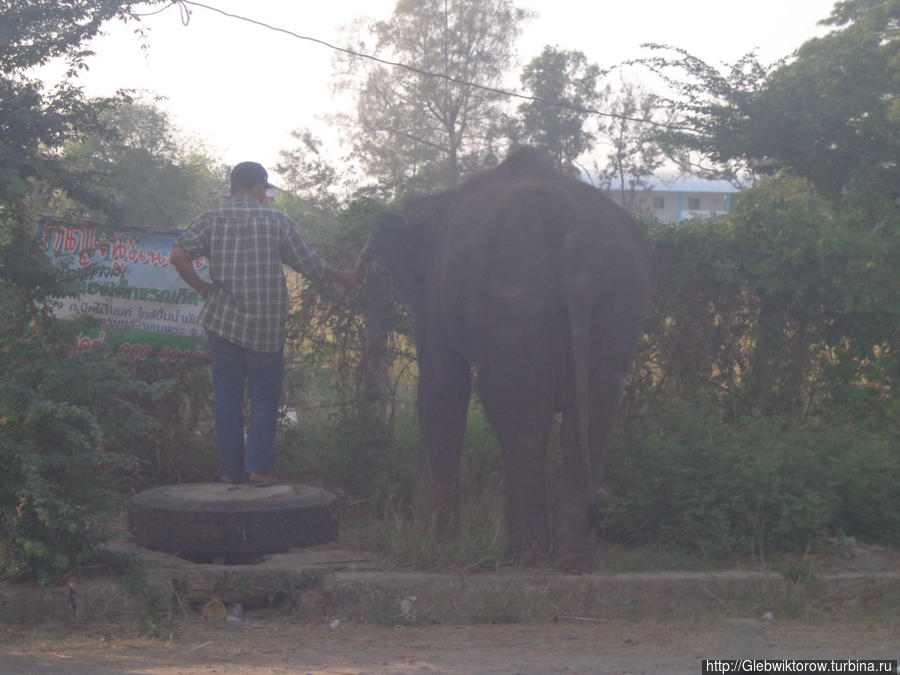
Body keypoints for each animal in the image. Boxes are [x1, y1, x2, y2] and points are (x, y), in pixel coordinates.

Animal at [370, 148, 652, 572]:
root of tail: (575, 245)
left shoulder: (437, 281)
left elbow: (443, 381)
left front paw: (430, 538)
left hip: (516, 298)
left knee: (521, 422)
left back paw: (525, 557)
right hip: (619, 299)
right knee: (588, 425)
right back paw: (573, 562)